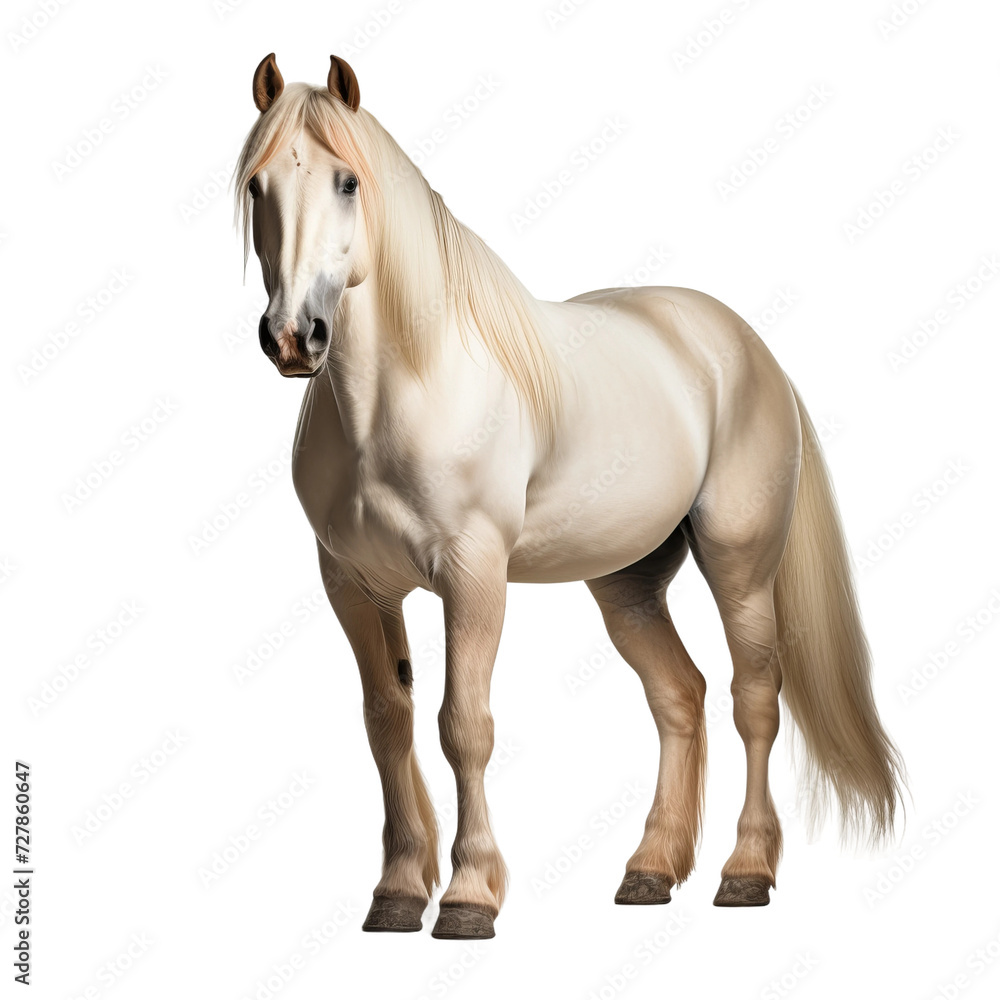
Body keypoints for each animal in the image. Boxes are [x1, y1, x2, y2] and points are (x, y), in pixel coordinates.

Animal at [233, 53, 906, 940]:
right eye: (258, 187)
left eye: (348, 180)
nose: (292, 337)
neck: (400, 391)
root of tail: (743, 346)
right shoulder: (352, 584)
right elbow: (388, 722)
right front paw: (398, 892)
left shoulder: (473, 576)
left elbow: (463, 727)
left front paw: (469, 897)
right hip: (627, 583)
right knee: (679, 696)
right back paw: (651, 870)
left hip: (740, 567)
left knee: (755, 700)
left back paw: (745, 872)